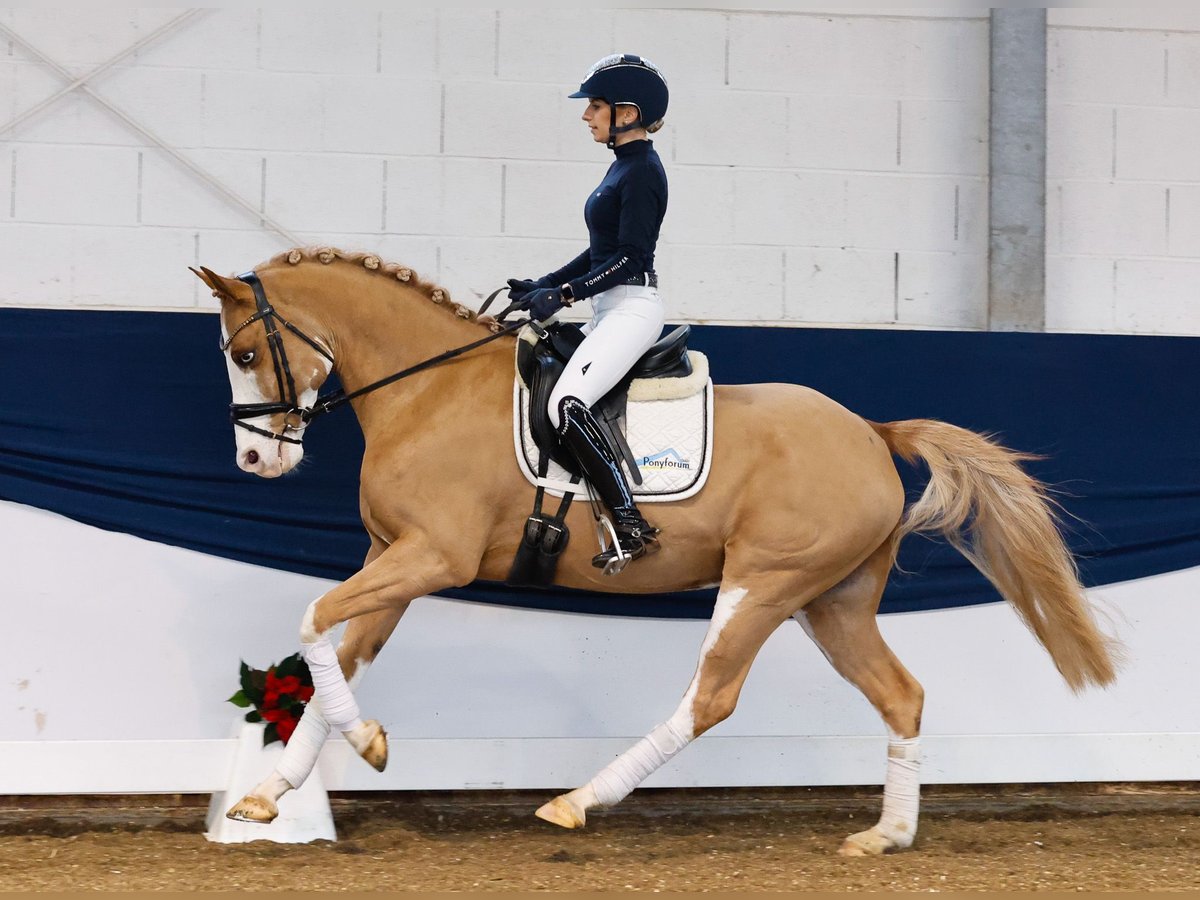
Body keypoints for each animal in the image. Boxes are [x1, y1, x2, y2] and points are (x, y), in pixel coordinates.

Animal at [187, 248, 1113, 859]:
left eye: (244, 353)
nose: (256, 462)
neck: (426, 389)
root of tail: (871, 431)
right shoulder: (395, 559)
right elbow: (335, 657)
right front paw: (269, 796)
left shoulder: (431, 558)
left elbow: (312, 620)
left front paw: (368, 746)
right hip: (833, 600)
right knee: (901, 694)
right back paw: (886, 834)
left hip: (765, 583)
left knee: (711, 698)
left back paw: (576, 802)